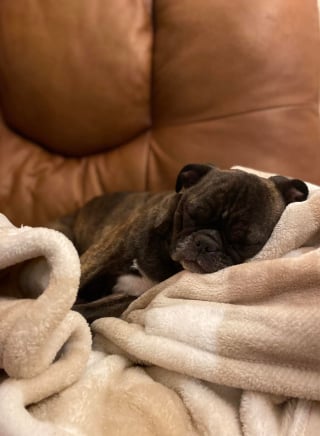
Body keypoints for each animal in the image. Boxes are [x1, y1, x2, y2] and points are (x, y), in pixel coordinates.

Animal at [47, 164, 308, 320]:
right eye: (193, 213)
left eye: (243, 239)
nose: (204, 242)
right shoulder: (103, 253)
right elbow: (73, 283)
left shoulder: (132, 296)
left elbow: (91, 308)